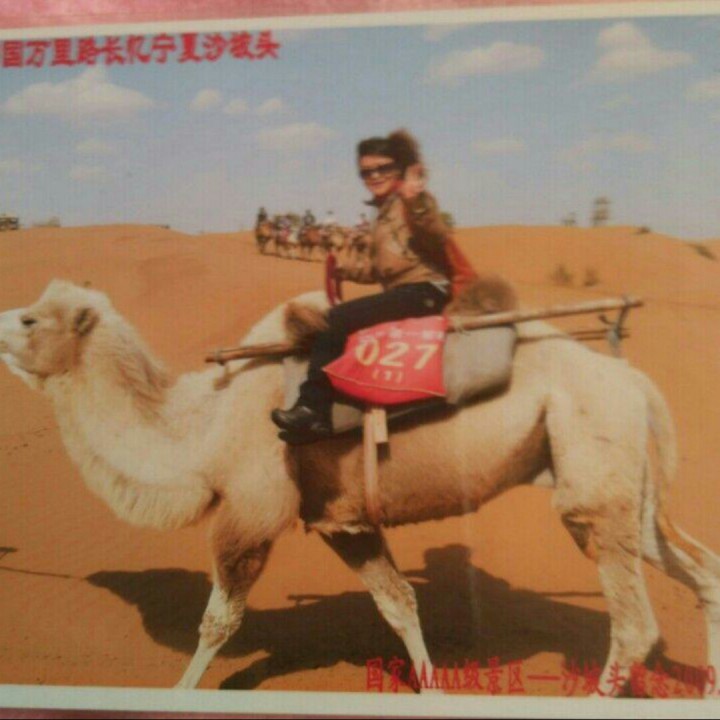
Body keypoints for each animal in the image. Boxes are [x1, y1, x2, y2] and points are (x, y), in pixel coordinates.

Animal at [1, 279, 719, 697]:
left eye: (33, 320)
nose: (3, 321)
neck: (201, 429)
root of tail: (634, 380)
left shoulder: (252, 513)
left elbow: (217, 623)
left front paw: (177, 697)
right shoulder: (343, 521)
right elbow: (399, 603)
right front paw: (432, 693)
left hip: (594, 481)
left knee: (634, 624)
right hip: (625, 486)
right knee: (702, 569)